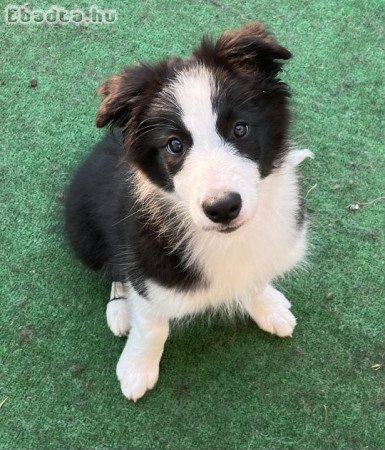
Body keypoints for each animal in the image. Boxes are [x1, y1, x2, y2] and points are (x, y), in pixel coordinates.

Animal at [65, 22, 312, 400]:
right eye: (174, 145)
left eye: (240, 128)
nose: (223, 208)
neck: (227, 240)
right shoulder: (146, 263)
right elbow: (152, 323)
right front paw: (137, 367)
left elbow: (255, 276)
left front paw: (267, 306)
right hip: (83, 234)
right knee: (115, 270)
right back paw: (120, 309)